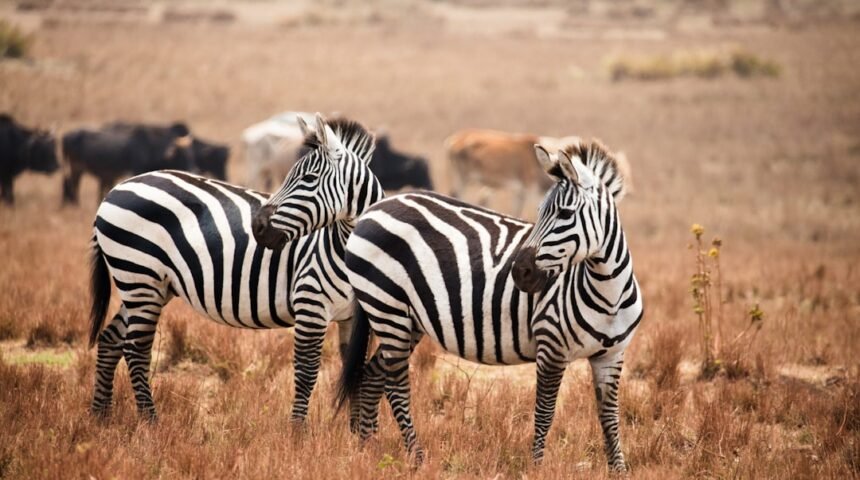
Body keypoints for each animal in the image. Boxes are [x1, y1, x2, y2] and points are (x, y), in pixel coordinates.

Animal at [87, 114, 382, 423]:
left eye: (309, 179)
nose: (258, 227)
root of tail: (114, 190)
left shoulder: (353, 317)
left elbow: (354, 369)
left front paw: (356, 434)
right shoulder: (310, 304)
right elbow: (306, 374)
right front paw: (297, 433)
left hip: (148, 286)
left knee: (110, 340)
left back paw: (101, 417)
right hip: (140, 276)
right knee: (136, 350)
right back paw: (150, 422)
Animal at [327, 139, 641, 471]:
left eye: (566, 213)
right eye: (540, 211)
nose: (520, 272)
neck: (607, 293)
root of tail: (374, 209)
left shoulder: (612, 356)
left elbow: (609, 418)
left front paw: (618, 470)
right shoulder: (551, 349)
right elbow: (544, 414)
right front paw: (537, 467)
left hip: (406, 320)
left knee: (373, 375)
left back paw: (368, 450)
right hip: (387, 307)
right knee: (396, 385)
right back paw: (418, 457)